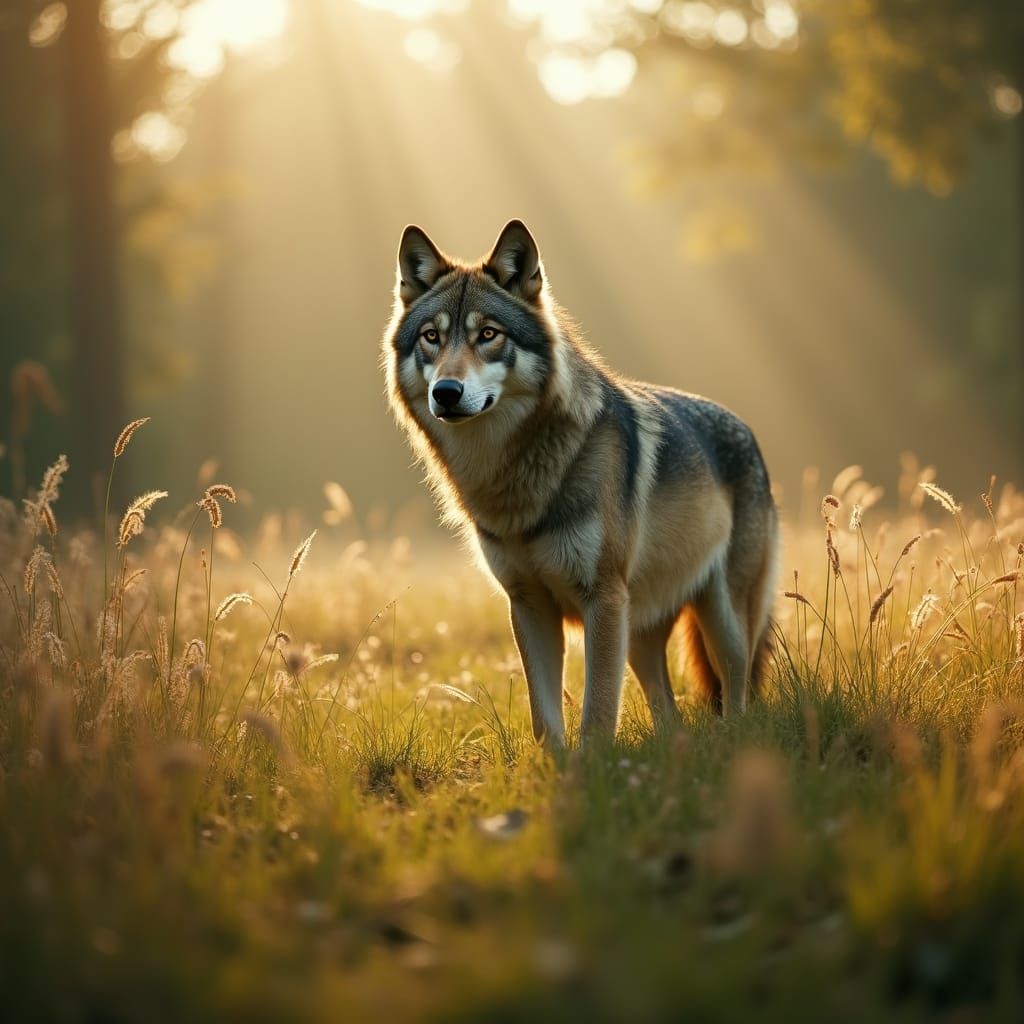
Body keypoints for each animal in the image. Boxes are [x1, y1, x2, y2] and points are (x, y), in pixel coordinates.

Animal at [383, 220, 779, 746]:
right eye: (432, 337)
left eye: (488, 334)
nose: (446, 392)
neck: (514, 476)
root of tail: (747, 430)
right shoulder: (528, 606)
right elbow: (546, 720)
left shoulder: (601, 599)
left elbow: (597, 713)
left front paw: (594, 765)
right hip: (640, 632)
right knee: (669, 710)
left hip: (720, 620)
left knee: (739, 690)